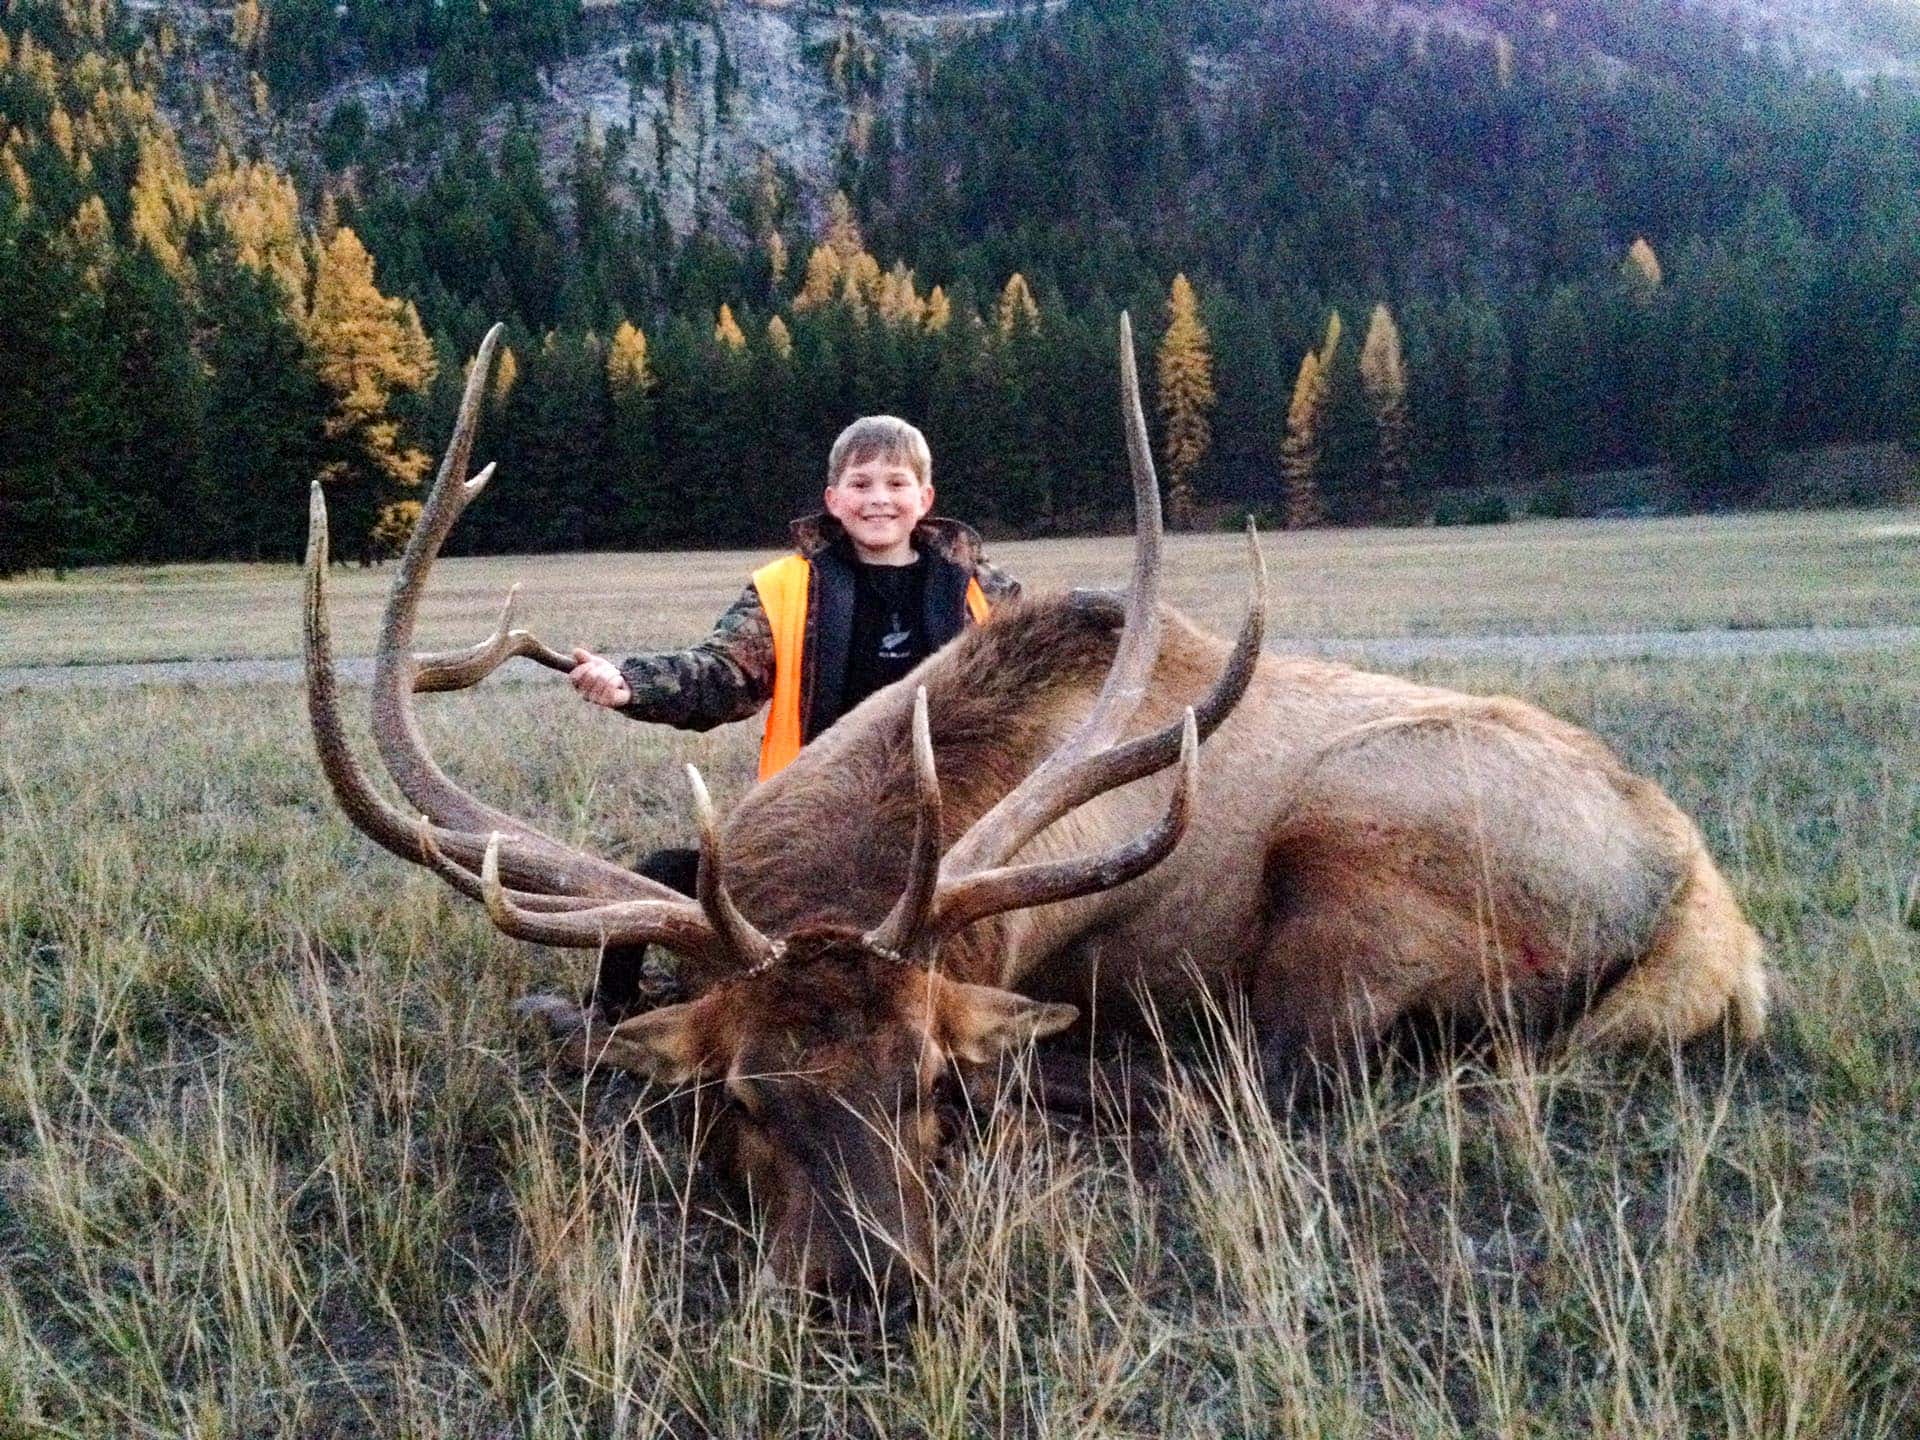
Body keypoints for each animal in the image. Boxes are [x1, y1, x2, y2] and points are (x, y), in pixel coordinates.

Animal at [303, 318, 1770, 1315]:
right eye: (743, 1096)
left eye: (925, 1085)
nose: (867, 1285)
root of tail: (1714, 928)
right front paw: (582, 1018)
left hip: (1360, 843)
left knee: (1267, 1078)